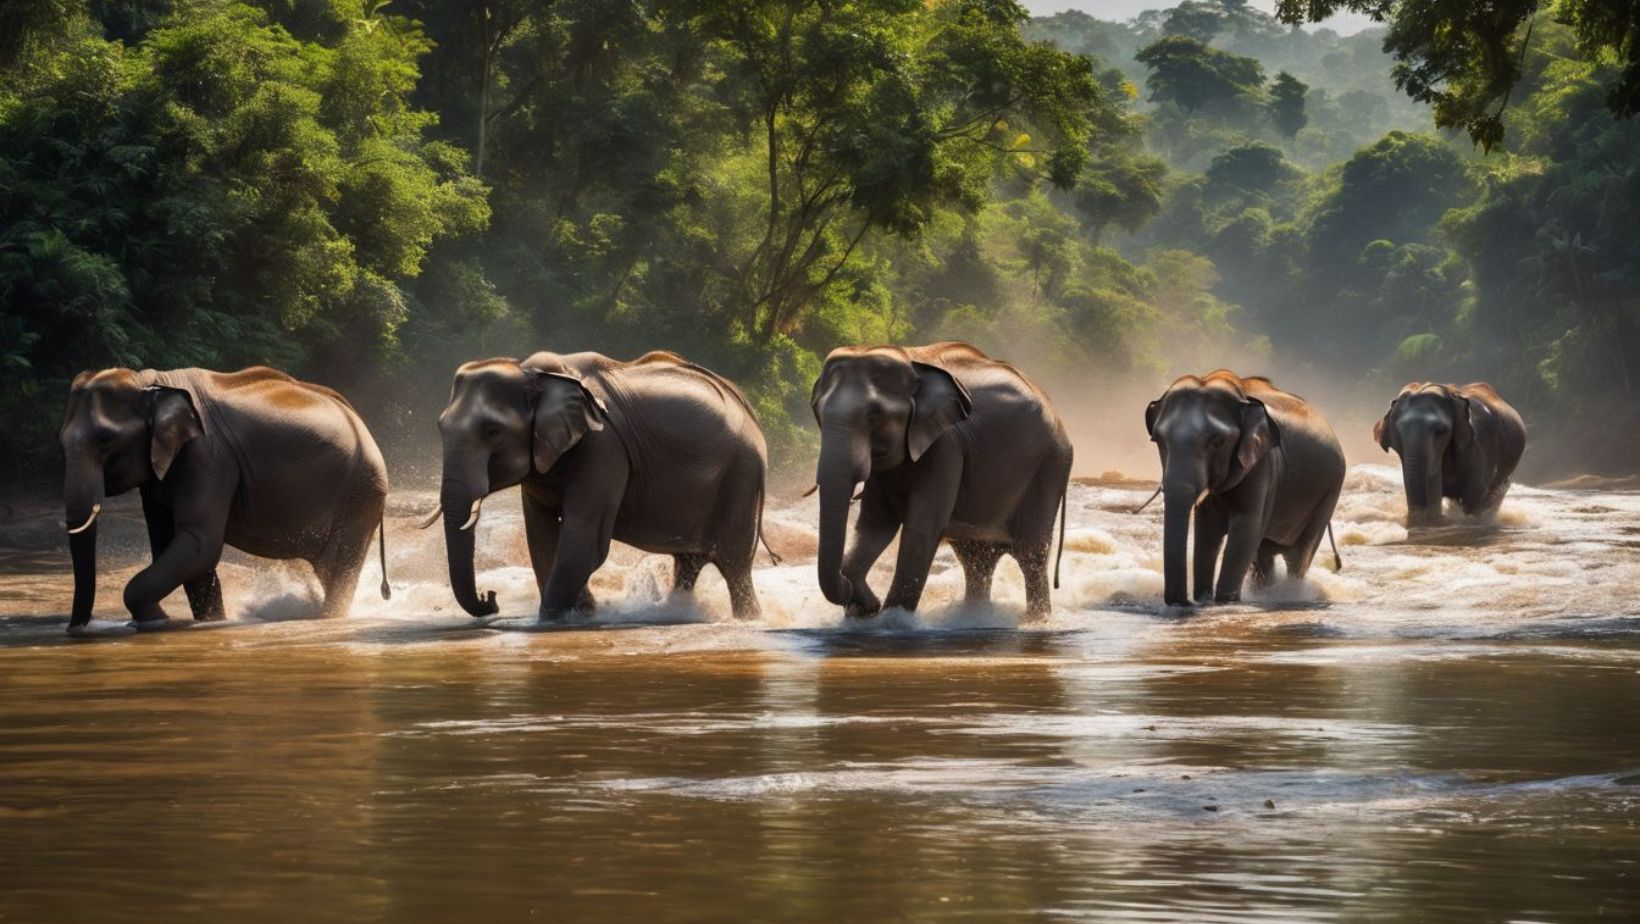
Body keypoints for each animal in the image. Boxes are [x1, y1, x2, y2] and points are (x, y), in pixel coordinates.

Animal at [58, 365, 393, 633]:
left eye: (105, 440)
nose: (76, 630)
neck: (152, 382)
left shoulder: (208, 457)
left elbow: (199, 543)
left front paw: (155, 620)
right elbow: (175, 548)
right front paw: (210, 622)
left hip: (361, 493)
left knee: (339, 567)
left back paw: (326, 617)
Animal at [432, 351, 770, 626]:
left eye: (493, 432)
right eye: (440, 428)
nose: (490, 596)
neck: (533, 373)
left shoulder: (604, 446)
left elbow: (583, 539)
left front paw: (553, 620)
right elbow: (542, 538)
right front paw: (583, 612)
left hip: (741, 476)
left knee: (734, 566)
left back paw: (748, 619)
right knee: (688, 563)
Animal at [810, 344, 1075, 620]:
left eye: (874, 416)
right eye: (818, 413)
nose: (866, 604)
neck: (910, 360)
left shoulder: (945, 447)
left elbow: (920, 532)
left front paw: (890, 618)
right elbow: (875, 525)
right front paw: (865, 609)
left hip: (1049, 467)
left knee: (1030, 555)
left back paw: (1037, 619)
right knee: (976, 558)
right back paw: (974, 615)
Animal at [1141, 372, 1344, 610]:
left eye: (1218, 442)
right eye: (1158, 440)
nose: (1185, 602)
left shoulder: (1263, 465)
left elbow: (1246, 526)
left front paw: (1223, 602)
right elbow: (1207, 529)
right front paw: (1204, 600)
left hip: (1329, 492)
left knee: (1298, 554)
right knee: (1264, 553)